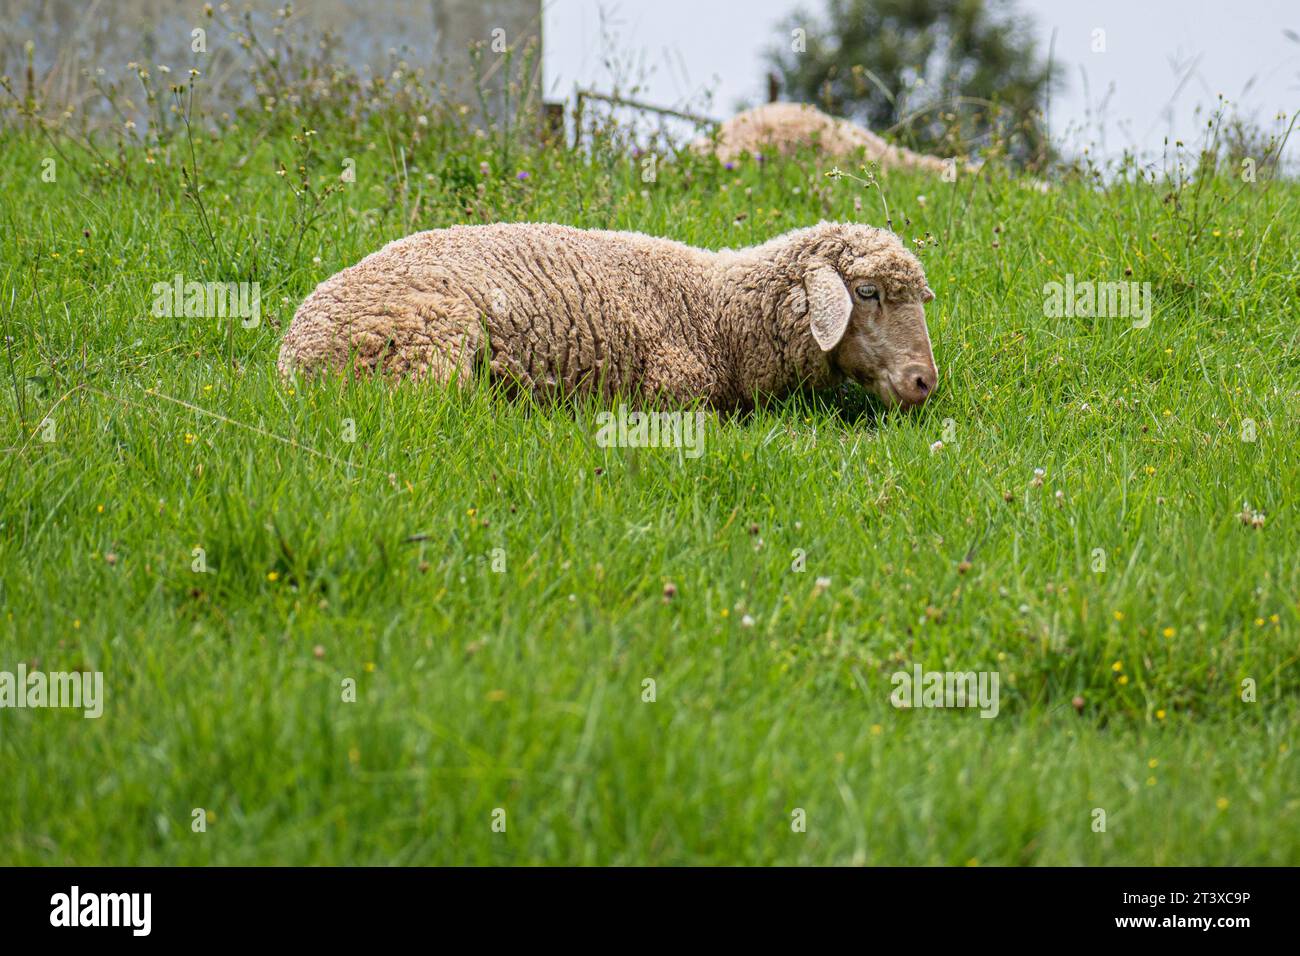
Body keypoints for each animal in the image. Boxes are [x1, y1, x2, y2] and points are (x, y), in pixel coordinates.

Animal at [279, 222, 941, 413]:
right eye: (867, 292)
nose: (924, 382)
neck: (718, 312)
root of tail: (290, 359)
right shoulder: (672, 391)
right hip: (426, 344)